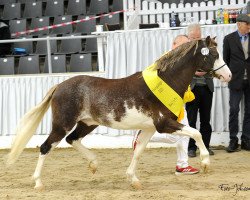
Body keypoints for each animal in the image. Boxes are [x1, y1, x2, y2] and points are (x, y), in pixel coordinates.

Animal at [6, 36, 232, 189]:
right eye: (214, 55)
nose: (228, 75)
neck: (166, 82)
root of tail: (59, 86)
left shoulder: (150, 128)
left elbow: (139, 150)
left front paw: (133, 179)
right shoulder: (164, 124)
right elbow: (196, 132)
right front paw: (205, 163)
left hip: (88, 123)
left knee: (72, 140)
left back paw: (94, 164)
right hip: (63, 124)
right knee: (46, 146)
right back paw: (38, 183)